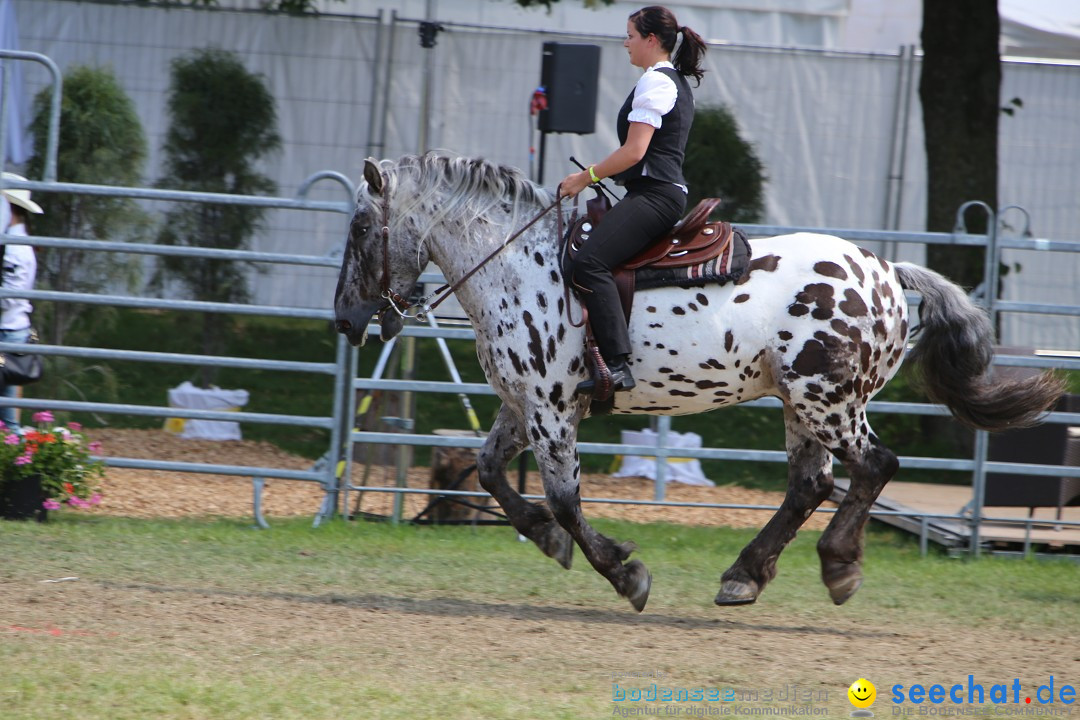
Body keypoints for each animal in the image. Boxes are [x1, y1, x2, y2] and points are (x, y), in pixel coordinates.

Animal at [334, 153, 1062, 613]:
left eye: (361, 226)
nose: (344, 319)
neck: (521, 266)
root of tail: (885, 271)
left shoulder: (551, 409)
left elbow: (566, 500)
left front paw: (626, 574)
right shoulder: (522, 406)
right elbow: (489, 473)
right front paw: (544, 537)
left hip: (828, 403)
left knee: (874, 466)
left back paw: (837, 564)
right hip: (801, 407)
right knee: (812, 485)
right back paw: (746, 576)